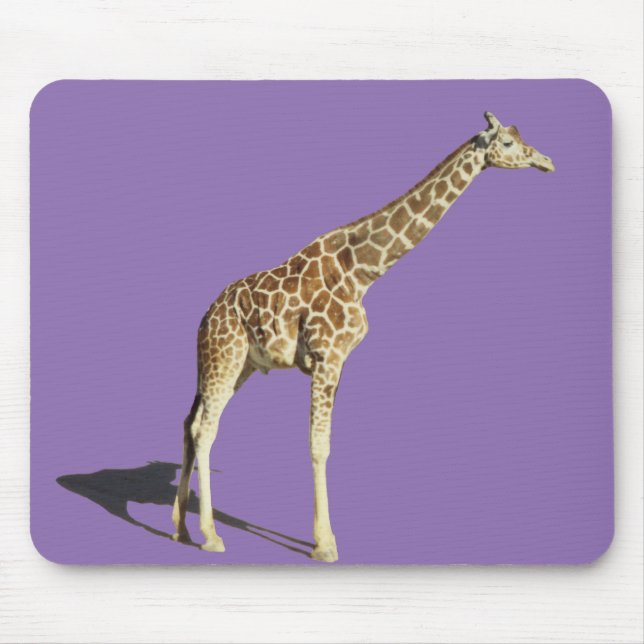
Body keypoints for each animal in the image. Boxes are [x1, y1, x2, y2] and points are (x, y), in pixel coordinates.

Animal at [171, 112, 555, 562]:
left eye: (521, 137)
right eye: (508, 143)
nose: (546, 161)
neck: (363, 270)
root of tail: (205, 317)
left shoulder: (338, 362)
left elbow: (324, 443)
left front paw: (323, 539)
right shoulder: (326, 356)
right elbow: (319, 445)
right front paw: (325, 545)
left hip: (235, 364)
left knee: (190, 422)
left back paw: (179, 528)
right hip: (225, 356)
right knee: (205, 429)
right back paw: (210, 535)